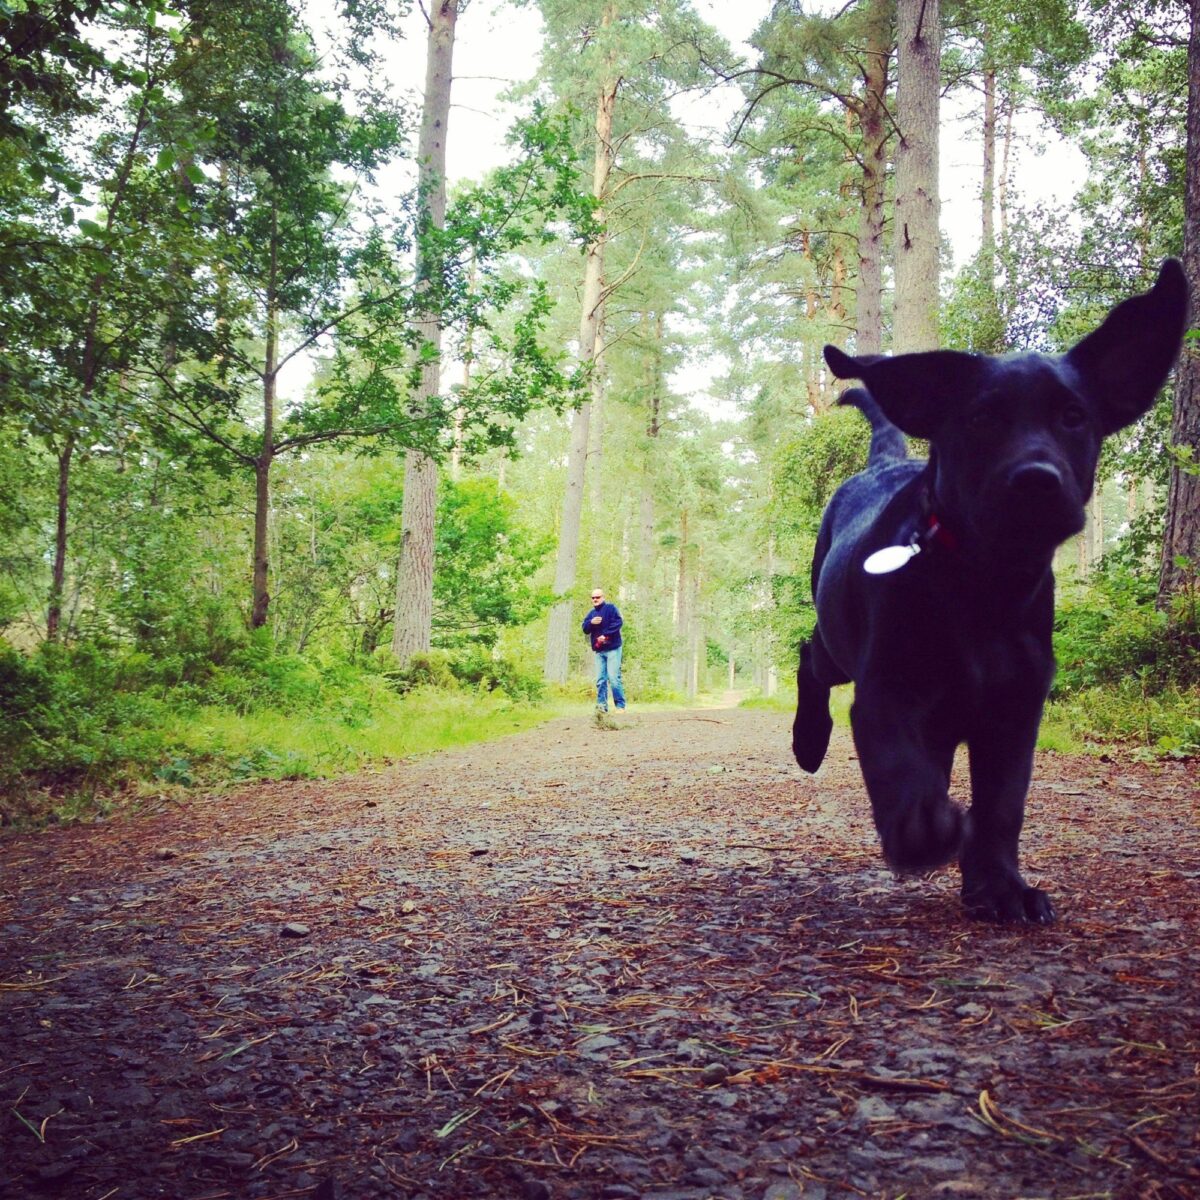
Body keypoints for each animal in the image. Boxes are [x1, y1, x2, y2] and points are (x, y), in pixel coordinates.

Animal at [792, 258, 1185, 921]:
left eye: (1073, 417)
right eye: (980, 418)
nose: (1036, 480)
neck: (983, 587)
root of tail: (880, 465)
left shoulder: (1015, 707)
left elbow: (1002, 805)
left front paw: (1001, 888)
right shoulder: (886, 692)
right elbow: (902, 770)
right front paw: (926, 832)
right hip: (837, 645)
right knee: (808, 659)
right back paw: (808, 741)